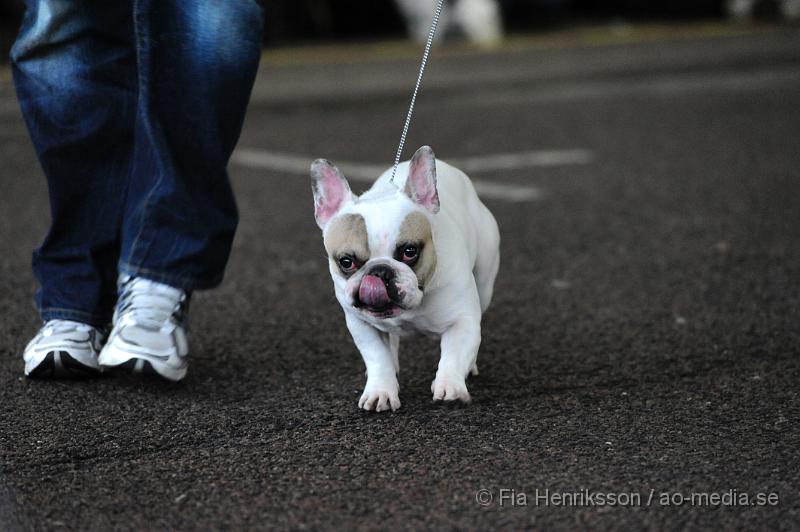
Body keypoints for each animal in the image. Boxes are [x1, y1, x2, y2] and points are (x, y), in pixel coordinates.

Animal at [310, 145, 496, 412]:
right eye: (346, 262)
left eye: (410, 251)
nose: (379, 271)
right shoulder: (362, 325)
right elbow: (378, 358)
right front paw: (380, 391)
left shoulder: (462, 321)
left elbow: (453, 356)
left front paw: (450, 387)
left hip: (485, 281)